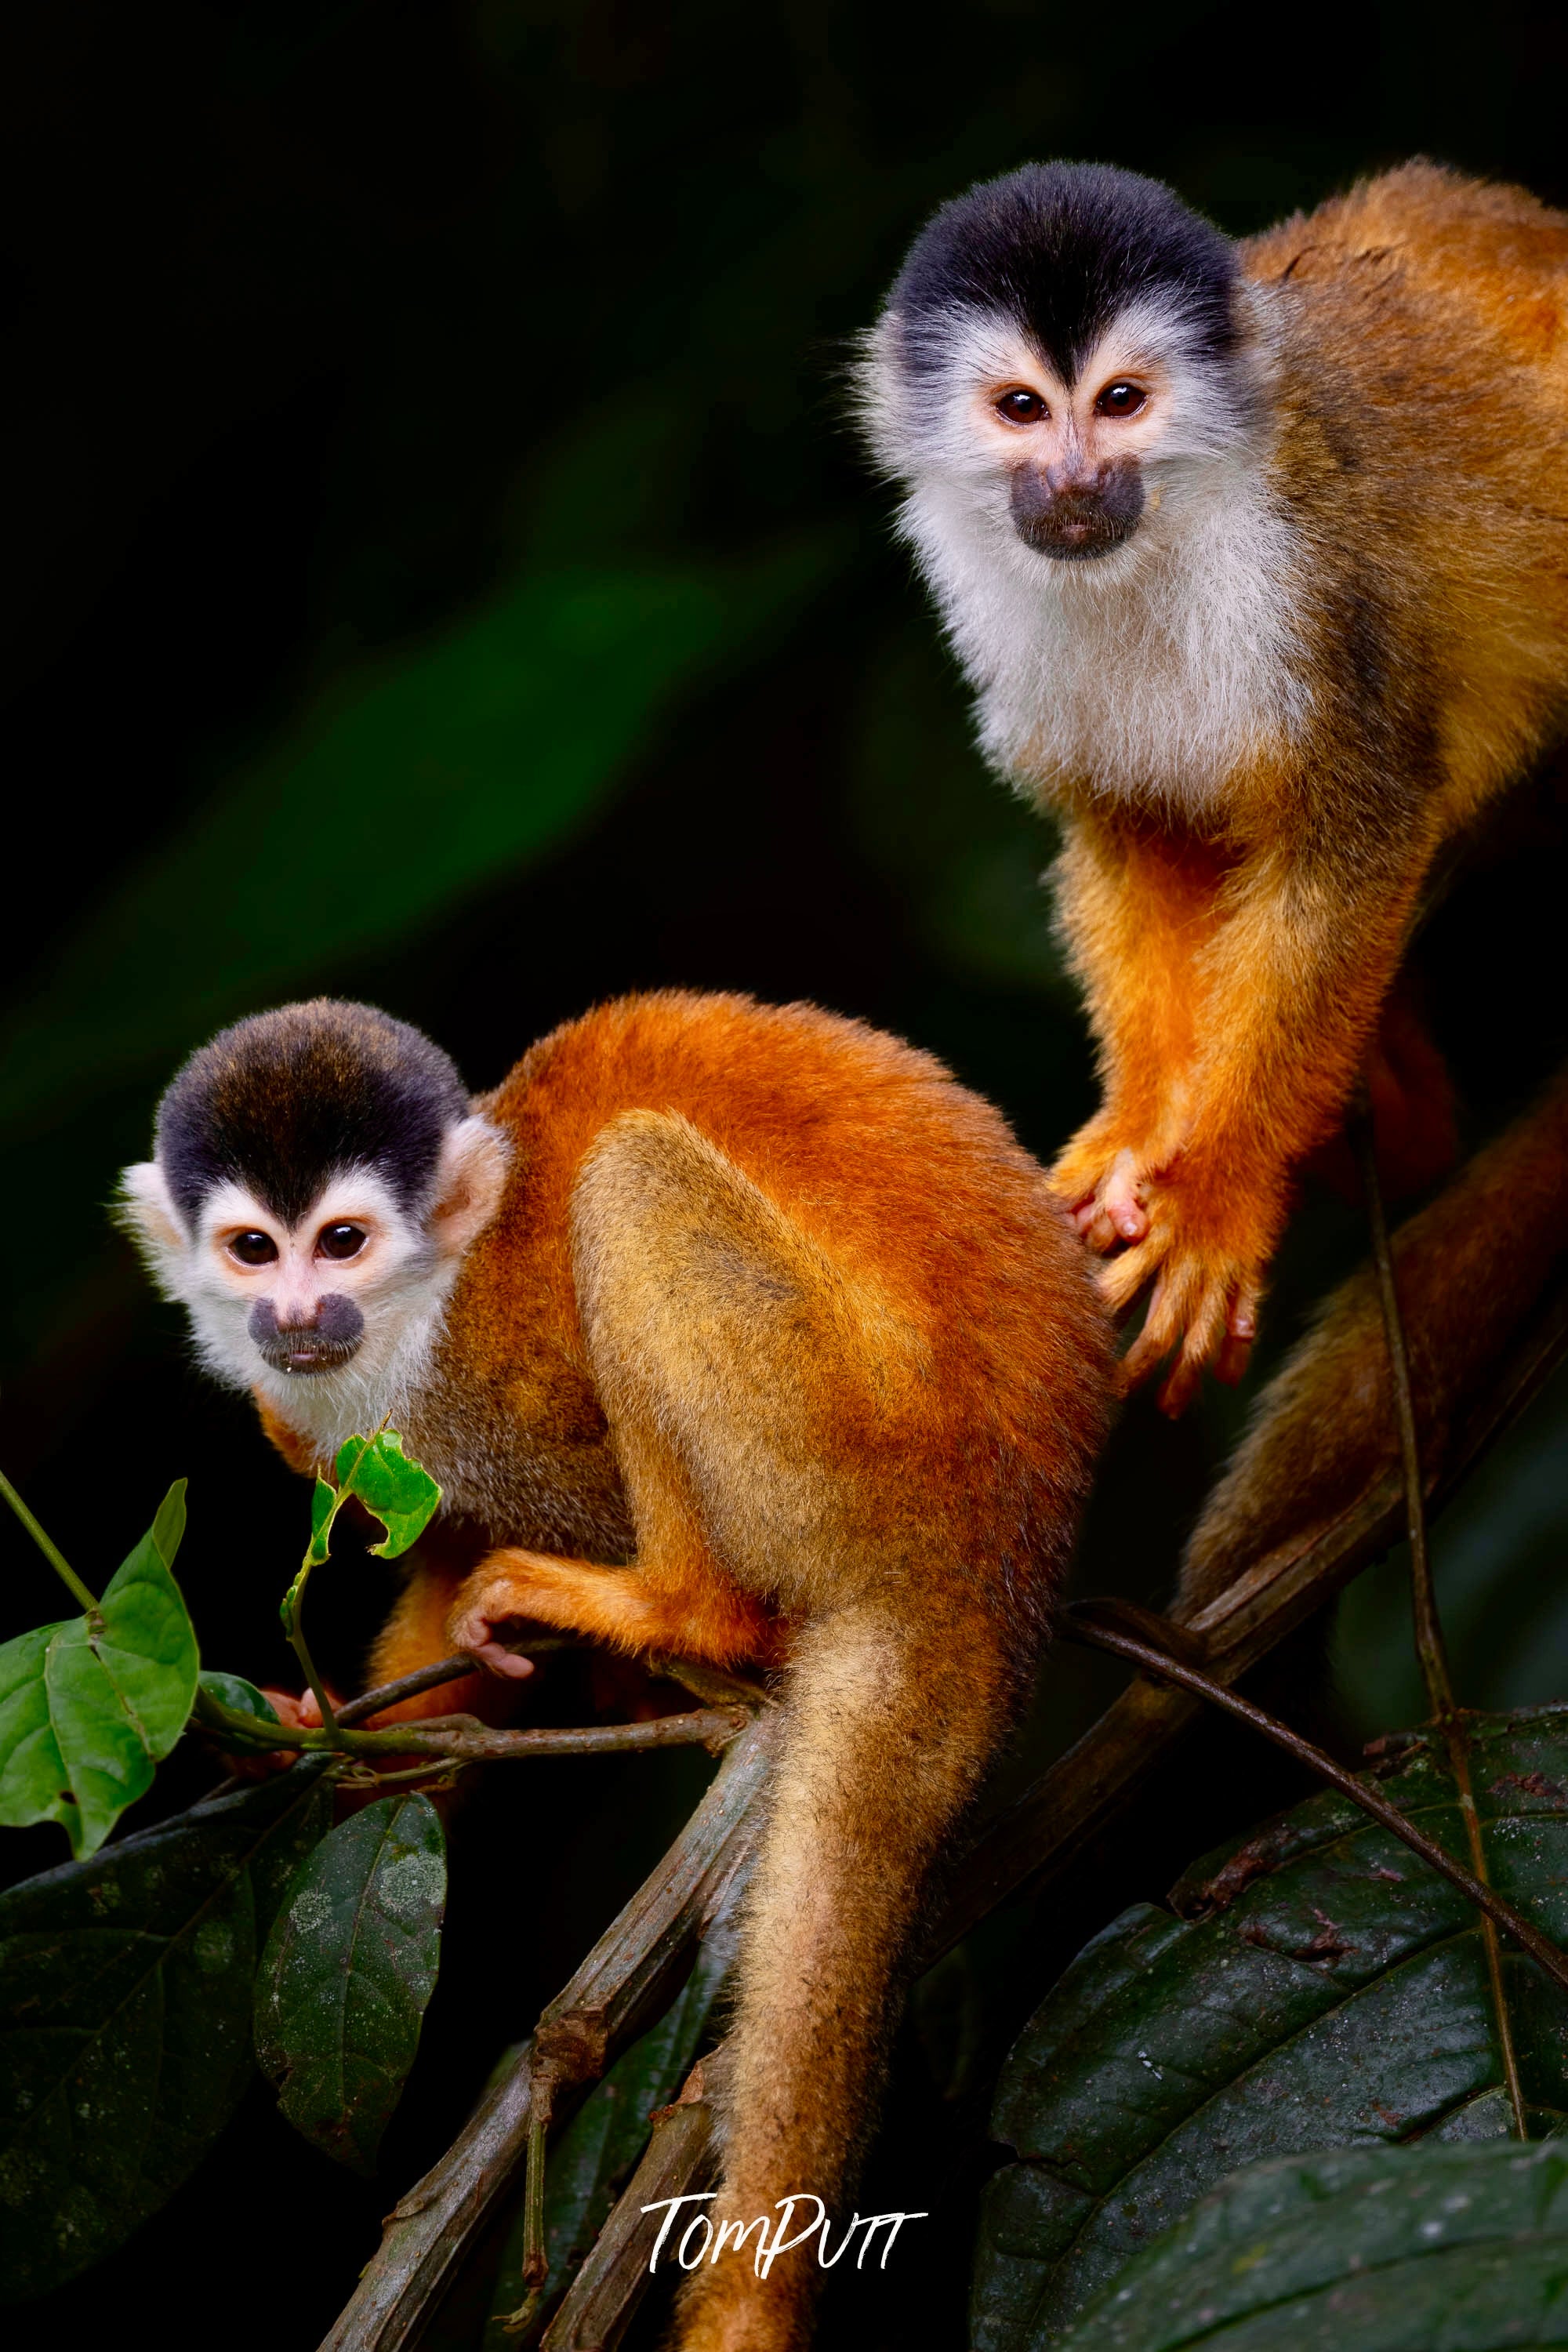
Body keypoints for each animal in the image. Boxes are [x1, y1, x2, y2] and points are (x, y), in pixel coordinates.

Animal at [116, 993, 1109, 2352]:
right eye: (256, 1251)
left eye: (345, 1242)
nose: (300, 1317)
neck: (428, 1303)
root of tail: (997, 1553)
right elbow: (436, 1604)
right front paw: (313, 1739)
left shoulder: (478, 1394)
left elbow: (551, 1468)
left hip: (863, 1445)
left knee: (632, 1182)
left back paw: (679, 1609)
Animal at [865, 165, 1568, 1411]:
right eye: (1021, 410)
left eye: (1122, 401)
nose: (1077, 482)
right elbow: (1133, 830)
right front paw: (1146, 1126)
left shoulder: (1319, 583)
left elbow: (1356, 834)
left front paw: (1219, 1192)